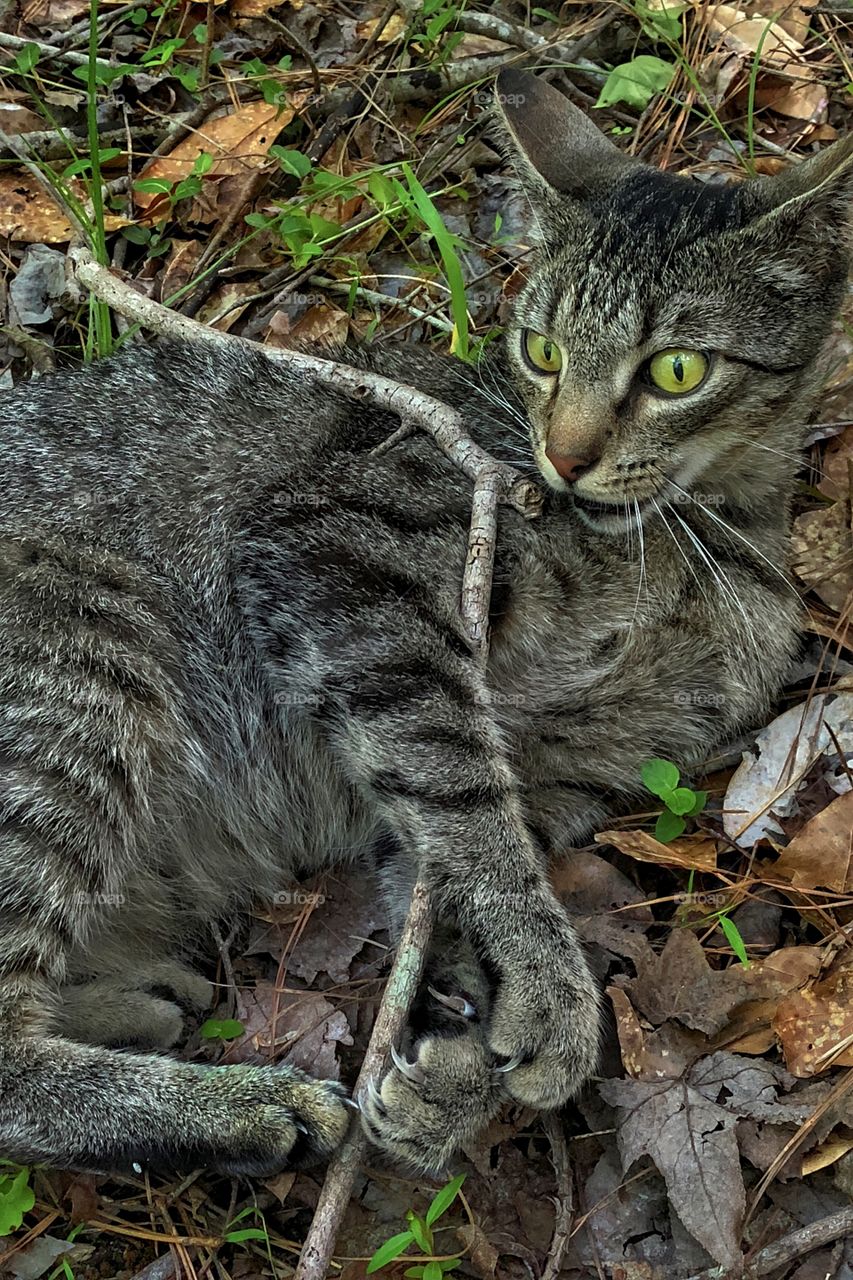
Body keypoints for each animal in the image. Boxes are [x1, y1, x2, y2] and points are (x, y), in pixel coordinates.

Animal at [0, 67, 845, 1172]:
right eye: (541, 351)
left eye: (676, 370)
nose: (562, 456)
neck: (704, 530)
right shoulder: (341, 556)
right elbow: (471, 817)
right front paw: (556, 1001)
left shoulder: (570, 767)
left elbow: (446, 871)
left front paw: (456, 1081)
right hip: (81, 671)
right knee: (7, 1064)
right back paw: (241, 1106)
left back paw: (141, 1000)